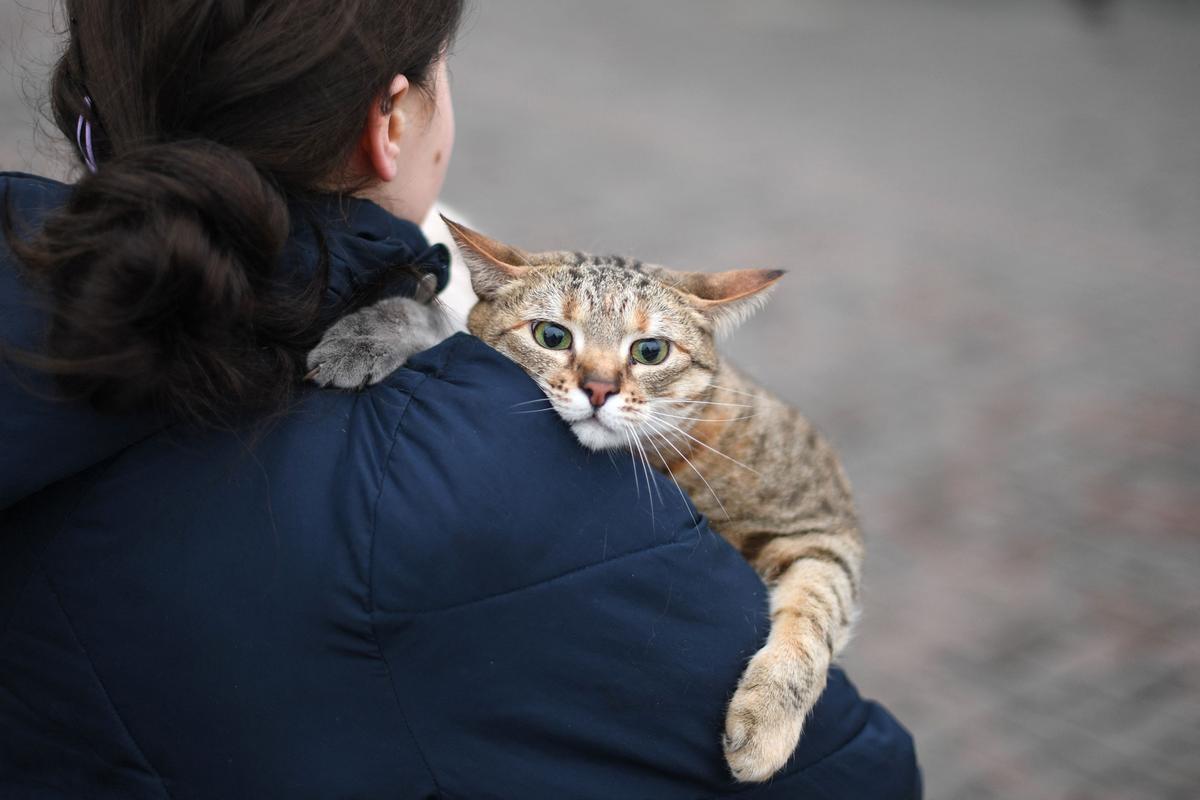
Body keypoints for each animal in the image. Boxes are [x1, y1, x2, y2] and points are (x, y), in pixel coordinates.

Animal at [304, 219, 859, 782]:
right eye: (552, 336)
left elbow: (814, 616)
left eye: (650, 351)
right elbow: (437, 322)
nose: (598, 388)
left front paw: (766, 720)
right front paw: (364, 335)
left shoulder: (822, 523)